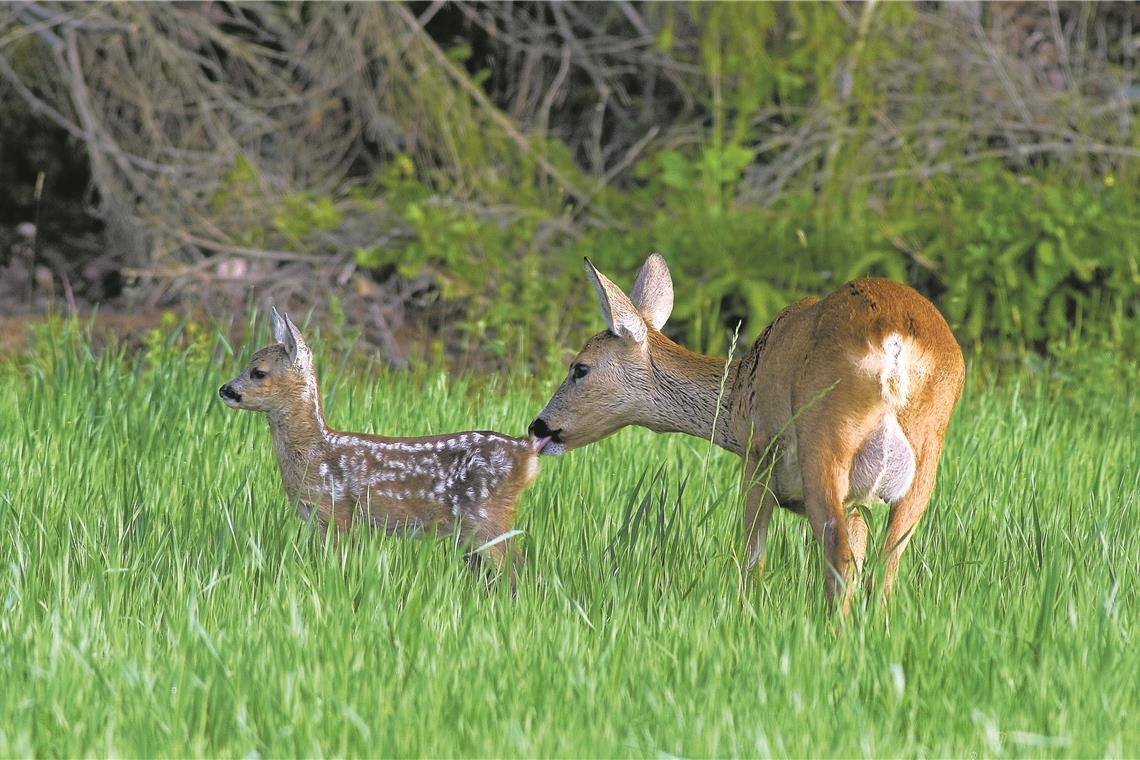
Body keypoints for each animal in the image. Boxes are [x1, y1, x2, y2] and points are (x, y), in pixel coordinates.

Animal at [222, 309, 547, 576]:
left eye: (258, 372)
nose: (224, 390)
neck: (315, 451)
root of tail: (526, 450)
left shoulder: (335, 511)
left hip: (486, 516)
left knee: (518, 569)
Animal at [524, 255, 962, 610]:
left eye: (580, 368)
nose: (538, 425)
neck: (735, 399)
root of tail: (894, 342)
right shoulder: (858, 500)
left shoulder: (758, 456)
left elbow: (752, 557)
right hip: (925, 453)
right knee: (886, 564)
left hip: (825, 437)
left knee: (836, 551)